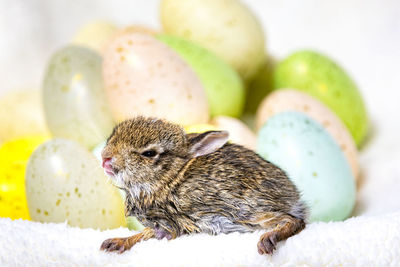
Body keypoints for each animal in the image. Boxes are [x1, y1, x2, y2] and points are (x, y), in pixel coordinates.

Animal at [99, 116, 306, 255]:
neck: (170, 179)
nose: (105, 158)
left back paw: (267, 240)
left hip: (247, 212)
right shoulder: (160, 226)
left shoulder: (171, 223)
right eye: (112, 136)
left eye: (149, 153)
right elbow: (144, 234)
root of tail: (294, 198)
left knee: (295, 221)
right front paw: (115, 243)